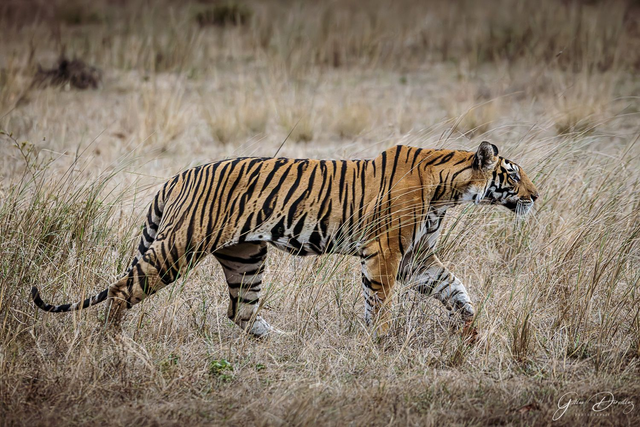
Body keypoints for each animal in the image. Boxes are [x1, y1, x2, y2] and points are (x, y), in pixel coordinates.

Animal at [32, 142, 539, 338]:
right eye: (513, 175)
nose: (537, 196)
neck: (450, 192)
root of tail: (179, 175)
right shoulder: (385, 253)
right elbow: (380, 302)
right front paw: (380, 341)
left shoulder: (416, 258)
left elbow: (456, 288)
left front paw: (471, 332)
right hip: (179, 249)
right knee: (122, 288)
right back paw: (111, 340)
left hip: (247, 255)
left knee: (241, 312)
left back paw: (281, 339)